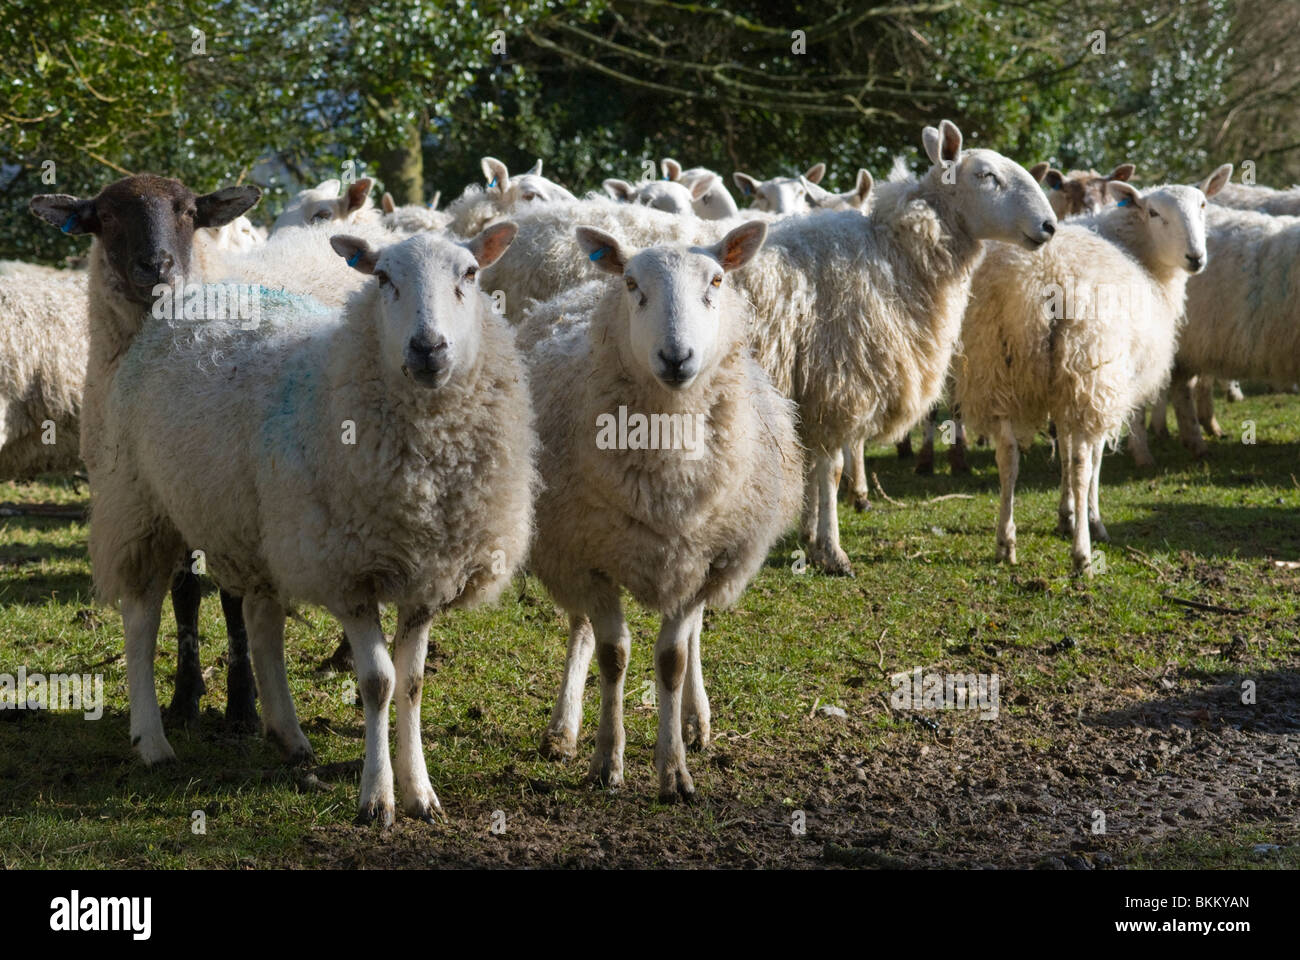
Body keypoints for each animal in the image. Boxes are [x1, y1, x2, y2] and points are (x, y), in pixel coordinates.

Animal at [522, 221, 795, 796]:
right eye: (632, 284)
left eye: (716, 280)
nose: (676, 357)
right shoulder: (587, 557)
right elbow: (613, 656)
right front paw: (606, 761)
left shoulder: (702, 558)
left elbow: (672, 660)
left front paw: (674, 770)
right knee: (581, 628)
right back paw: (563, 729)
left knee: (691, 638)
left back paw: (695, 720)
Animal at [951, 167, 1222, 572]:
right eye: (1154, 212)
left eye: (1203, 205)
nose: (1196, 257)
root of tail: (1041, 279)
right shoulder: (1103, 384)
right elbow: (1088, 458)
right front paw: (1087, 518)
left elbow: (1061, 447)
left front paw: (1065, 515)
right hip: (1088, 366)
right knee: (1081, 461)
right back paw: (1083, 554)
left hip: (995, 367)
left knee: (1008, 455)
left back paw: (1005, 542)